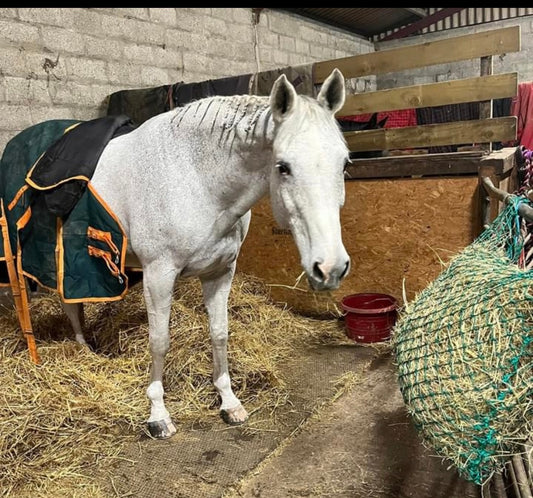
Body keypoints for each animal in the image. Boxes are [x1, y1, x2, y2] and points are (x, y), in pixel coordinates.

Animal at [60, 68, 352, 438]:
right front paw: (158, 414)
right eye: (283, 167)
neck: (195, 179)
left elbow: (220, 334)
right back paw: (82, 349)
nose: (330, 268)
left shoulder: (220, 272)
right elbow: (159, 341)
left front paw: (229, 402)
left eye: (344, 163)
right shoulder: (158, 275)